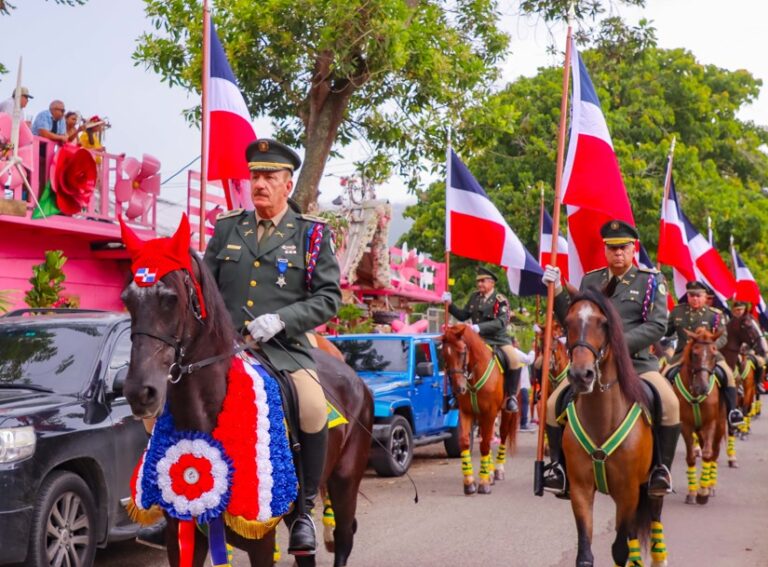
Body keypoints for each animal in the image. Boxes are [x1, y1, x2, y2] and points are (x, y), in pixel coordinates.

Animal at [119, 219, 372, 567]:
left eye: (169, 299)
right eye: (127, 299)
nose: (139, 392)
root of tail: (355, 378)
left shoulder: (261, 539)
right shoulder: (181, 535)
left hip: (344, 482)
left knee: (344, 538)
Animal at [440, 326, 520, 494]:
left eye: (462, 352)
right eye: (444, 354)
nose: (458, 389)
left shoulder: (489, 413)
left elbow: (484, 445)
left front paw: (483, 482)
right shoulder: (466, 412)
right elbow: (465, 442)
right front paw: (470, 482)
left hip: (504, 413)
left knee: (502, 435)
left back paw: (498, 470)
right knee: (486, 437)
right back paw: (490, 473)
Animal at [560, 292, 664, 567]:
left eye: (604, 323)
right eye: (567, 322)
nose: (581, 375)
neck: (601, 419)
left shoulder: (628, 492)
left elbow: (619, 550)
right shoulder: (581, 490)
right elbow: (585, 553)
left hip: (649, 491)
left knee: (654, 521)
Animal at [672, 326, 728, 508]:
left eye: (713, 353)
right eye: (695, 354)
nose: (703, 387)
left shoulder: (711, 423)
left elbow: (708, 454)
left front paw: (703, 492)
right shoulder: (686, 425)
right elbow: (691, 457)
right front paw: (692, 492)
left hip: (719, 426)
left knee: (714, 452)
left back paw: (710, 486)